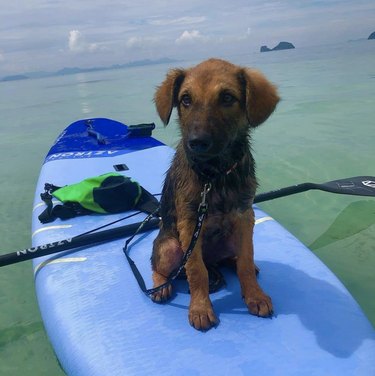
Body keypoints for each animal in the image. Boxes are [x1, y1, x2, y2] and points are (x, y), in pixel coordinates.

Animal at [151, 57, 280, 330]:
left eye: (227, 98)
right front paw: (200, 308)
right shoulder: (190, 221)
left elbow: (245, 259)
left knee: (236, 258)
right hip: (170, 246)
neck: (215, 174)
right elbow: (196, 270)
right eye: (185, 99)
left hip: (232, 238)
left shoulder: (244, 215)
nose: (196, 143)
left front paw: (254, 295)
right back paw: (160, 286)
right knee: (161, 266)